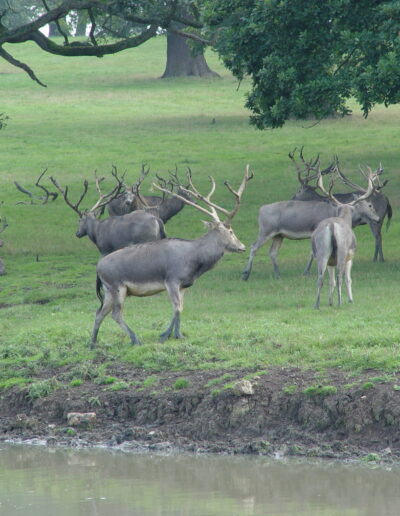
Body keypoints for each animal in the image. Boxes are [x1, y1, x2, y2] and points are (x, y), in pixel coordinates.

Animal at [91, 167, 253, 348]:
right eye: (231, 231)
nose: (242, 246)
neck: (194, 261)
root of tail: (98, 268)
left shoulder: (183, 285)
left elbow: (181, 307)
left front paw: (178, 334)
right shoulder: (172, 280)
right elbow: (177, 308)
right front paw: (165, 335)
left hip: (108, 290)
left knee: (99, 312)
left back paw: (93, 342)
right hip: (117, 286)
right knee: (115, 313)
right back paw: (135, 339)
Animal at [242, 159, 380, 280]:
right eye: (370, 205)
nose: (378, 218)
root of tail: (260, 210)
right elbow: (313, 253)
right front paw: (306, 272)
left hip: (278, 235)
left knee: (272, 252)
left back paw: (278, 274)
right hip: (266, 230)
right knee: (253, 246)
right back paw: (246, 274)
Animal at [312, 169, 378, 308]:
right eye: (369, 205)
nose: (377, 218)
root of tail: (332, 226)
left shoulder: (331, 261)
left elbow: (331, 281)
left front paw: (330, 302)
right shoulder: (351, 256)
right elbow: (348, 279)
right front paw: (350, 299)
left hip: (322, 251)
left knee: (320, 277)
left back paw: (317, 304)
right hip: (342, 250)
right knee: (340, 277)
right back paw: (340, 302)